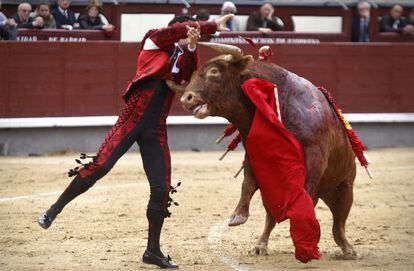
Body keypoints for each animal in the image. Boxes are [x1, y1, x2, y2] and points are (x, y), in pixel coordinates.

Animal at [168, 43, 360, 260]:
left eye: (214, 72)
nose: (186, 98)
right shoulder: (254, 154)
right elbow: (247, 183)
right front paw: (237, 216)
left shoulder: (315, 157)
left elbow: (307, 190)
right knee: (271, 218)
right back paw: (260, 245)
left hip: (345, 189)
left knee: (339, 223)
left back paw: (348, 249)